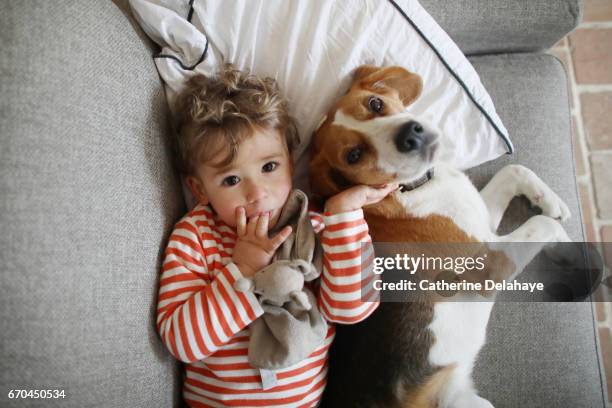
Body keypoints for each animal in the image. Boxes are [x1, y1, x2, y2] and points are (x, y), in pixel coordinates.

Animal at [310, 65, 572, 406]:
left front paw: (550, 201)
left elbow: (514, 171)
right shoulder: (489, 264)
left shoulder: (480, 223)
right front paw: (569, 249)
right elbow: (543, 225)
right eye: (353, 155)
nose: (410, 134)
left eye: (375, 104)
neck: (413, 187)